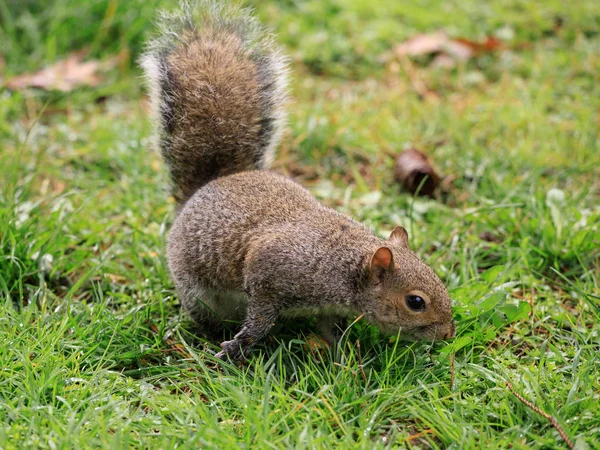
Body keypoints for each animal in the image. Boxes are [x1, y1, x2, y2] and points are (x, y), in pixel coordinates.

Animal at [141, 0, 454, 360]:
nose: (448, 333)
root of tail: (206, 187)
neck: (345, 266)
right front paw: (238, 345)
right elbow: (261, 316)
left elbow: (330, 330)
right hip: (196, 289)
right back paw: (211, 335)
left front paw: (346, 355)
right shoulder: (269, 273)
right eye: (415, 302)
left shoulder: (327, 307)